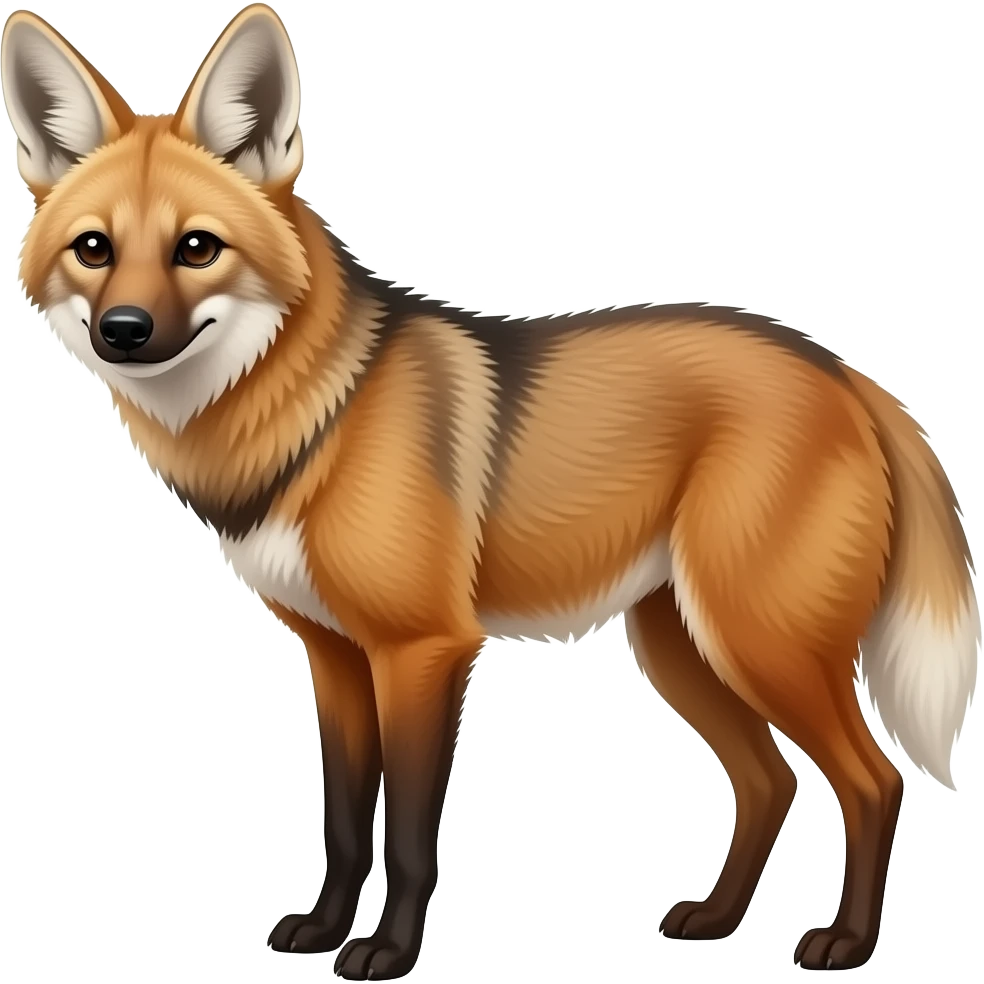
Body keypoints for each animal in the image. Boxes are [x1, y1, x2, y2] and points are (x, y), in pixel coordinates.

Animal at [2, 3, 980, 977]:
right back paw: (716, 918)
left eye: (197, 248)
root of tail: (841, 370)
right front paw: (322, 931)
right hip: (683, 650)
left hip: (760, 643)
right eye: (94, 250)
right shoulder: (335, 658)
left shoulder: (424, 650)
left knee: (873, 781)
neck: (316, 418)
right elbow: (346, 822)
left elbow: (408, 836)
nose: (124, 330)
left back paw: (846, 942)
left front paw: (387, 954)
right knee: (770, 782)